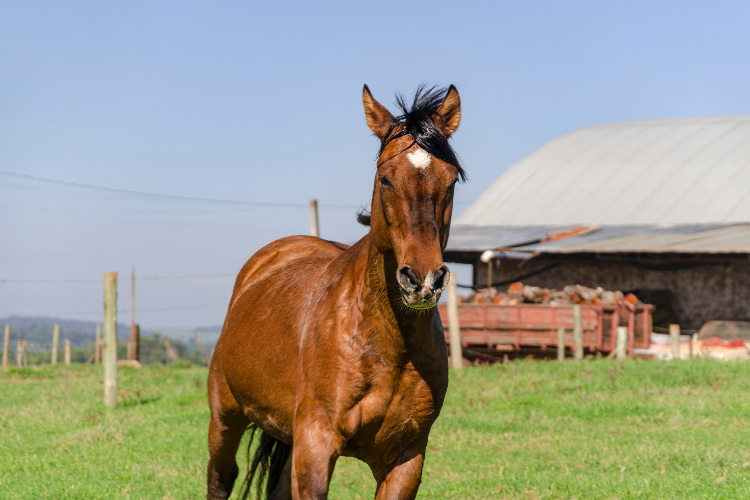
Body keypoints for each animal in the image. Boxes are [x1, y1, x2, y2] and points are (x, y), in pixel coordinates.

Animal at [206, 84, 464, 498]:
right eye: (385, 177)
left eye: (451, 180)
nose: (423, 280)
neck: (387, 342)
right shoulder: (316, 444)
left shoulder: (405, 457)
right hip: (226, 418)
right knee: (221, 477)